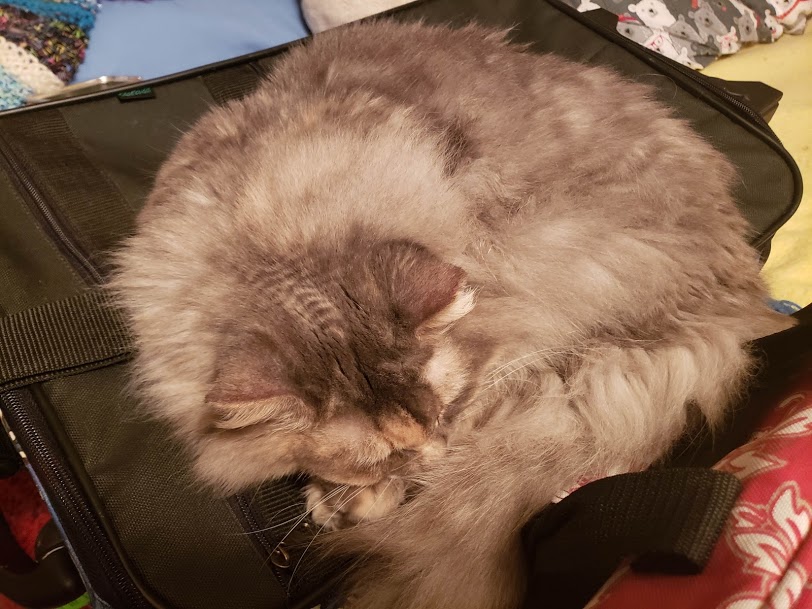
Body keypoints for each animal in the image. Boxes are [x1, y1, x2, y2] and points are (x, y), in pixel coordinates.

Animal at [110, 19, 793, 609]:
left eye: (446, 411)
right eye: (376, 454)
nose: (432, 458)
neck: (274, 236)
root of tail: (739, 296)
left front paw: (348, 500)